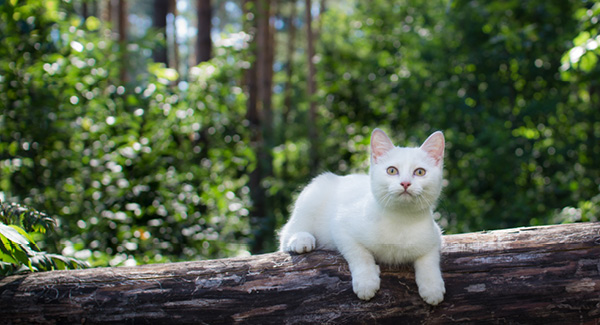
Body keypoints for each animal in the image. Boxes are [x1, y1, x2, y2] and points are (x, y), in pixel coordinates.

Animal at [280, 128, 446, 304]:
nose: (405, 183)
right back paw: (301, 239)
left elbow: (430, 259)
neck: (401, 219)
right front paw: (366, 282)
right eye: (392, 170)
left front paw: (432, 287)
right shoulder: (341, 226)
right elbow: (360, 254)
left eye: (420, 172)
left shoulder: (435, 234)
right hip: (313, 195)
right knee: (287, 234)